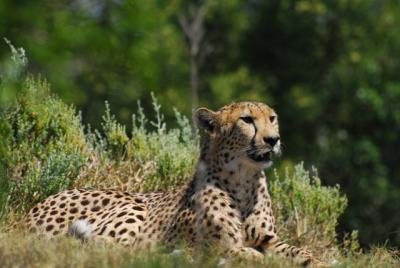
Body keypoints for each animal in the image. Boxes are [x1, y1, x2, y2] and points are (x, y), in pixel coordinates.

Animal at [24, 101, 318, 264]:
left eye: (272, 118)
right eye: (246, 120)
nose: (273, 140)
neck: (243, 180)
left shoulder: (270, 241)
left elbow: (302, 252)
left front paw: (316, 261)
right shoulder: (198, 244)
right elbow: (229, 250)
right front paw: (249, 256)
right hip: (132, 204)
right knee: (117, 252)